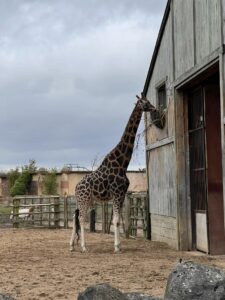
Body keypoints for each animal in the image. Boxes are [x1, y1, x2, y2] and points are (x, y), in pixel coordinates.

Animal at [69, 94, 161, 253]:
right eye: (144, 102)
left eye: (148, 101)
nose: (154, 108)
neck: (122, 164)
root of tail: (76, 186)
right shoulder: (117, 193)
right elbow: (116, 220)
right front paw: (117, 247)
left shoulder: (122, 194)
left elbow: (118, 220)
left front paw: (119, 245)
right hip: (84, 198)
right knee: (81, 218)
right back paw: (83, 247)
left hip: (84, 199)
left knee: (75, 216)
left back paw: (71, 246)